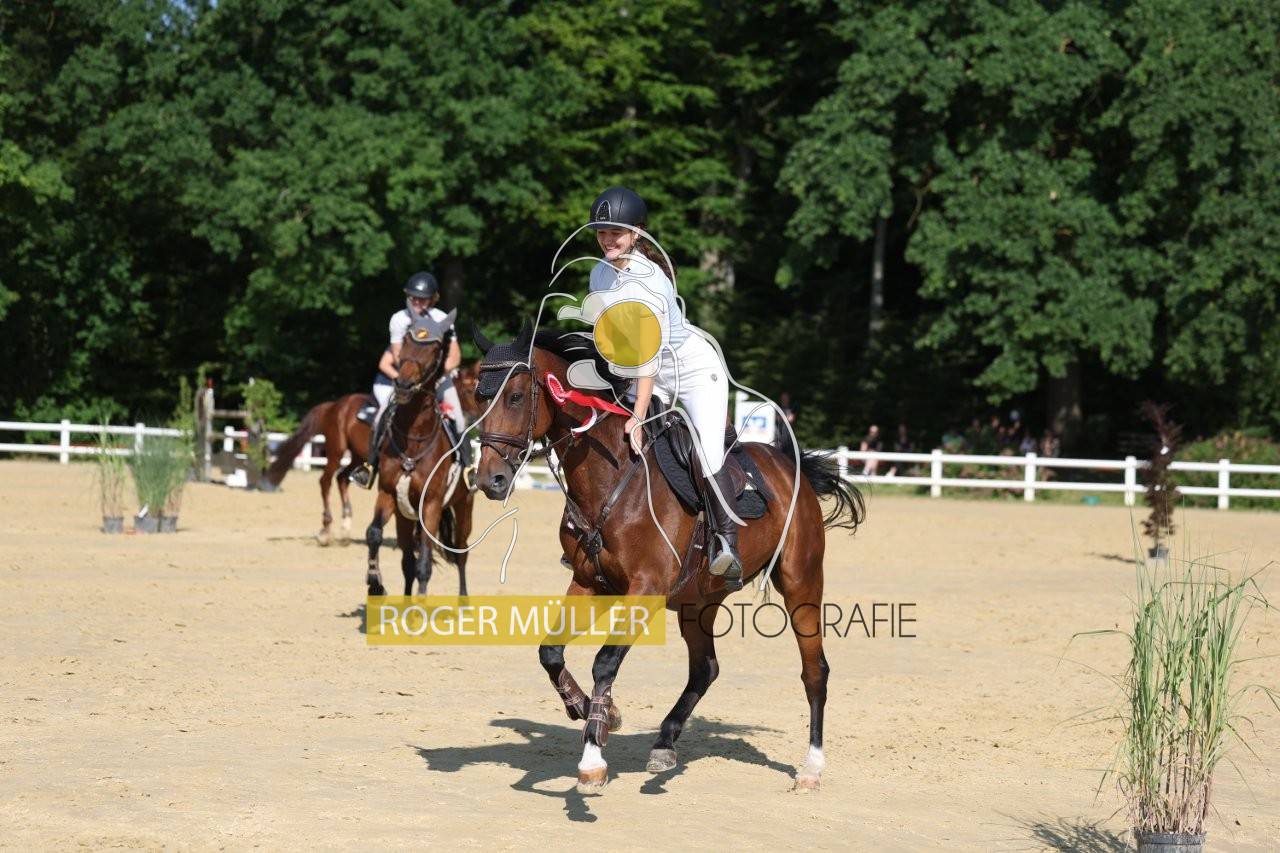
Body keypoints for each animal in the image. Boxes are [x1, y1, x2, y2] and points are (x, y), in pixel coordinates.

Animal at [365, 316, 475, 597]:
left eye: (435, 349)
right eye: (405, 341)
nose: (403, 385)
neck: (414, 441)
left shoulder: (431, 505)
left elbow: (425, 561)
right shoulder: (388, 493)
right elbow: (374, 533)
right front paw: (375, 583)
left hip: (464, 506)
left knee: (461, 553)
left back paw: (463, 600)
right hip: (405, 517)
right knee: (407, 560)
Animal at [471, 323, 864, 793]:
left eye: (515, 397)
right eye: (477, 395)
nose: (490, 480)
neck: (611, 478)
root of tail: (791, 464)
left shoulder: (647, 588)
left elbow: (605, 661)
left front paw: (593, 755)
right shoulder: (590, 582)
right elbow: (550, 651)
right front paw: (595, 713)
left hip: (801, 580)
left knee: (814, 669)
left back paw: (811, 767)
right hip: (698, 601)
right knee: (705, 668)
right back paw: (664, 742)